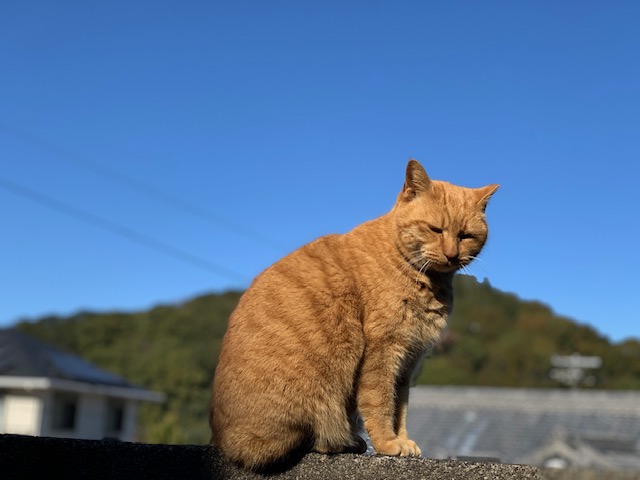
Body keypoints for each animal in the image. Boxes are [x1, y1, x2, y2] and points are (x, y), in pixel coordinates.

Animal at [210, 160, 500, 468]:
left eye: (466, 236)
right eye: (435, 229)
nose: (451, 255)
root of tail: (222, 441)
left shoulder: (408, 362)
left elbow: (400, 408)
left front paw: (403, 440)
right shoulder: (383, 352)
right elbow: (380, 403)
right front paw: (388, 444)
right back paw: (342, 441)